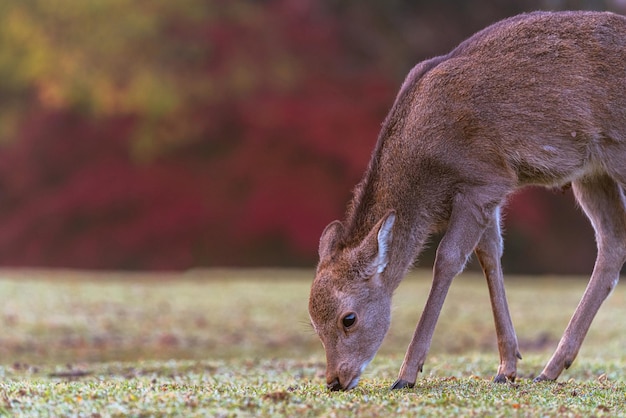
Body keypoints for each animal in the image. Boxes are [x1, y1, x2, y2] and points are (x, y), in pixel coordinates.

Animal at [308, 10, 624, 392]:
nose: (335, 380)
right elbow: (489, 255)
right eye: (313, 322)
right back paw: (551, 367)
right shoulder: (488, 194)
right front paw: (506, 367)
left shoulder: (483, 179)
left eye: (349, 318)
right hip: (593, 172)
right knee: (613, 242)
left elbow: (447, 259)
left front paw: (407, 374)